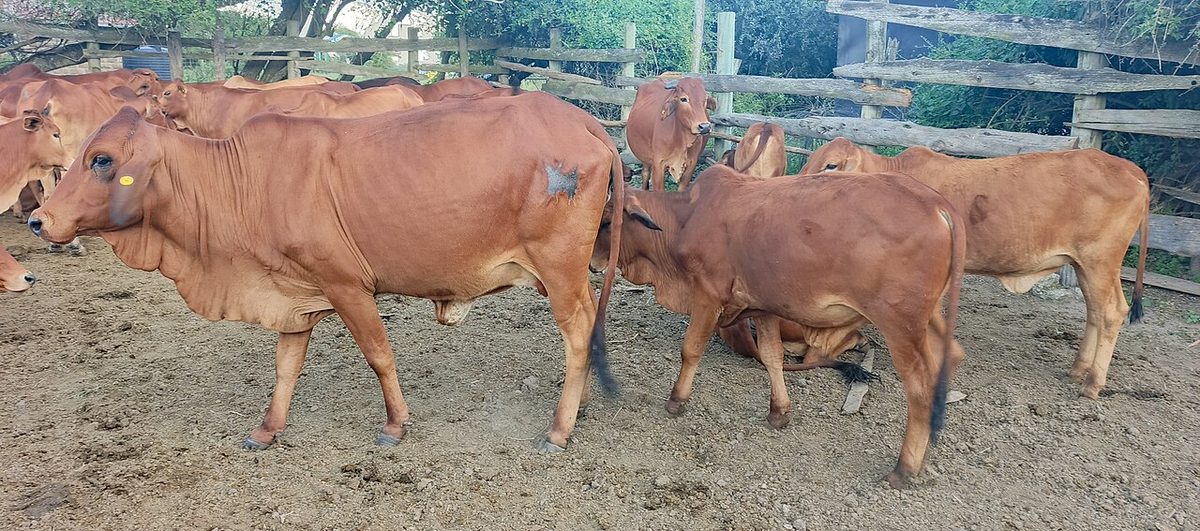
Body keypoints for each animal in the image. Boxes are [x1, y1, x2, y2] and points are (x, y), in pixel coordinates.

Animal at [29, 92, 630, 454]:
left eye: (102, 159)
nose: (39, 220)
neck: (236, 185)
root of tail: (580, 118)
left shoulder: (347, 286)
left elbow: (380, 356)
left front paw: (395, 424)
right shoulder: (293, 295)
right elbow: (285, 368)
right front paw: (267, 430)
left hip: (560, 272)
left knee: (579, 335)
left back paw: (559, 428)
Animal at [590, 164, 966, 487]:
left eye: (608, 222)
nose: (592, 263)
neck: (686, 218)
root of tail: (937, 204)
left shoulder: (708, 296)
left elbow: (690, 349)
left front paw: (676, 401)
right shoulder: (764, 307)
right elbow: (771, 357)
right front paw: (779, 412)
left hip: (900, 324)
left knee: (920, 389)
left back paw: (904, 467)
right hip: (929, 320)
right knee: (951, 359)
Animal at [800, 138, 1150, 399]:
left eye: (831, 165)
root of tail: (1131, 169)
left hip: (1100, 261)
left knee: (1111, 312)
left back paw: (1092, 384)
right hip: (1084, 266)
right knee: (1094, 312)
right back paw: (1079, 370)